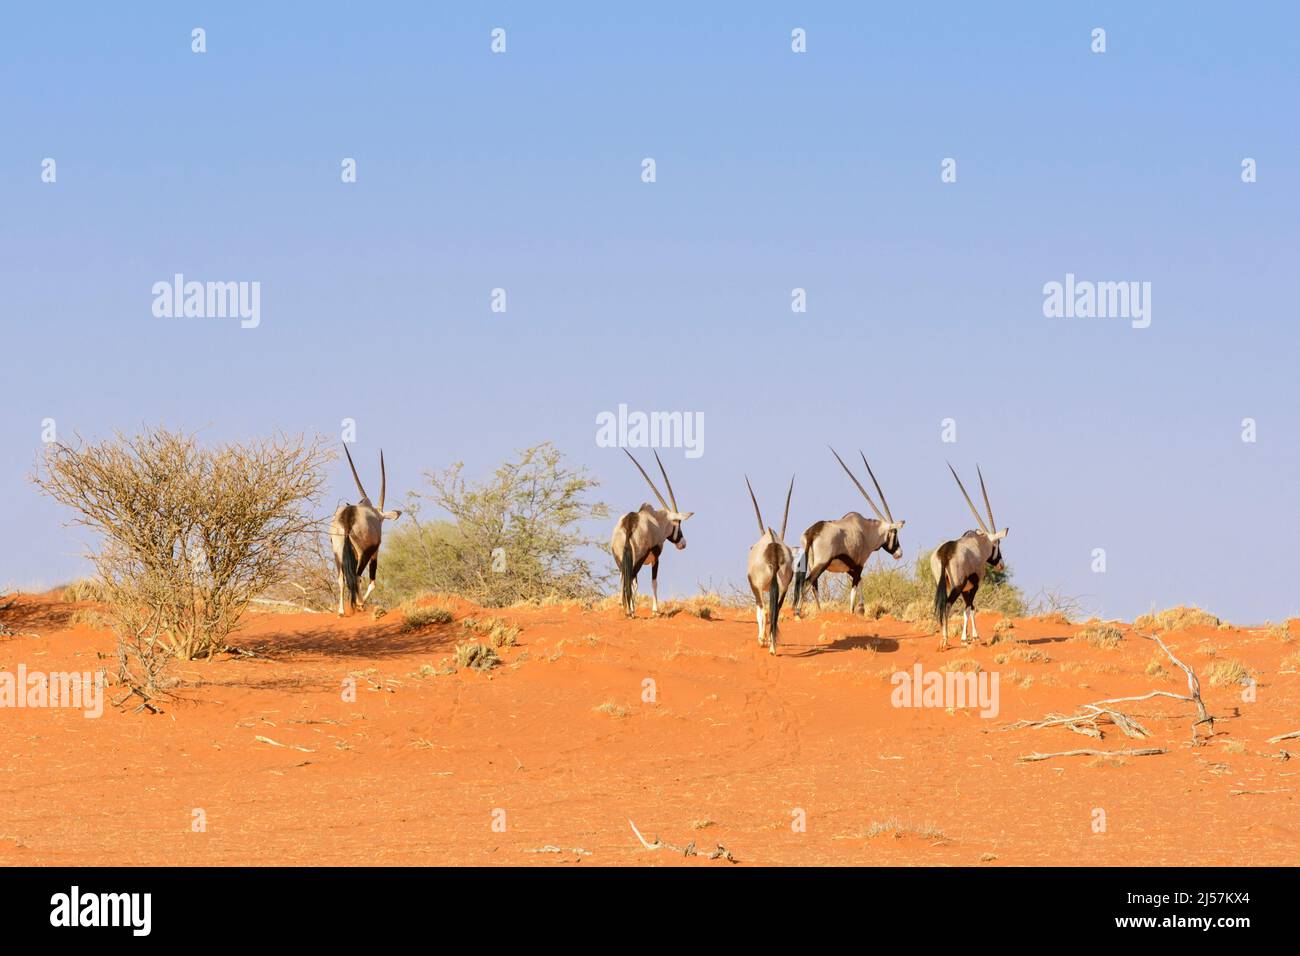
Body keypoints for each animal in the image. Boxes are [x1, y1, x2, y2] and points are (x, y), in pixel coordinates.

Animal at [330, 447, 400, 616]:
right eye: (381, 520)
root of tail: (348, 516)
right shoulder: (374, 552)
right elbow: (372, 582)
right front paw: (362, 604)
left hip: (337, 552)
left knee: (341, 578)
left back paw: (341, 611)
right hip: (363, 553)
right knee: (357, 576)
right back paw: (359, 603)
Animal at [608, 450, 691, 616]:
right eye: (678, 523)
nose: (683, 543)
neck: (655, 520)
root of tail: (629, 523)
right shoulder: (656, 558)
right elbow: (654, 582)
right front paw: (655, 610)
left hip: (620, 558)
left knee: (624, 578)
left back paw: (624, 607)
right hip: (638, 559)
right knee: (632, 580)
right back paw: (631, 611)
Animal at [748, 476, 795, 655]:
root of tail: (774, 548)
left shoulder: (756, 587)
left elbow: (760, 611)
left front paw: (762, 639)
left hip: (760, 587)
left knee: (765, 610)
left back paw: (764, 642)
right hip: (783, 586)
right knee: (776, 611)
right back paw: (773, 647)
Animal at [785, 450, 909, 621]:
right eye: (895, 532)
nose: (899, 553)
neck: (866, 530)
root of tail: (813, 531)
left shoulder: (849, 568)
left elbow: (860, 582)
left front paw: (861, 608)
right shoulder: (859, 565)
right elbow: (854, 587)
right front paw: (854, 611)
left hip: (810, 563)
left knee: (813, 585)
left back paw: (819, 611)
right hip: (821, 564)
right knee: (808, 582)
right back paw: (798, 612)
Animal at [930, 463, 1008, 650]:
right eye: (997, 544)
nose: (1001, 564)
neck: (978, 543)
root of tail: (945, 551)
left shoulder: (966, 588)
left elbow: (969, 608)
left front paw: (970, 637)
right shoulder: (973, 586)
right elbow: (969, 608)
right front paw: (969, 638)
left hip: (941, 582)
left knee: (941, 604)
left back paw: (942, 639)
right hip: (957, 586)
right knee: (947, 604)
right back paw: (945, 640)